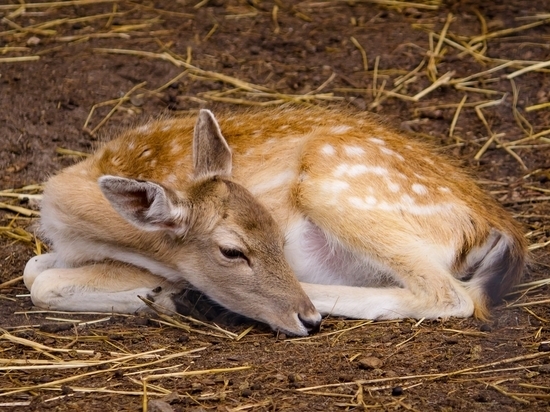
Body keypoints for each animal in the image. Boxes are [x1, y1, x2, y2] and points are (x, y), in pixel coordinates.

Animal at [23, 107, 528, 338]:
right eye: (233, 250)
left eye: (278, 234)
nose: (305, 317)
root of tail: (495, 227)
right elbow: (33, 271)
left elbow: (41, 284)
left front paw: (164, 293)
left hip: (333, 188)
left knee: (450, 295)